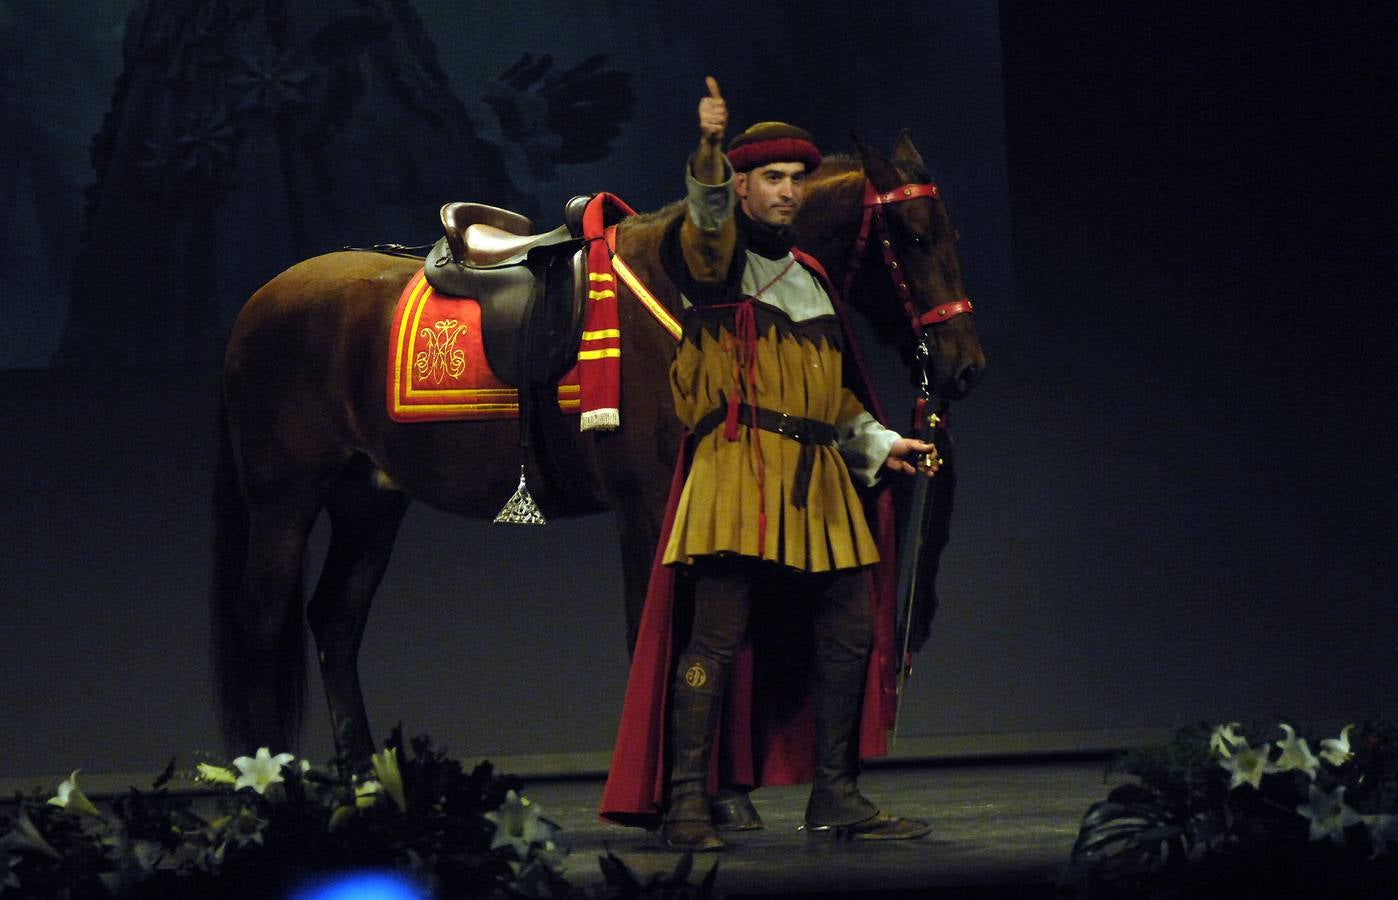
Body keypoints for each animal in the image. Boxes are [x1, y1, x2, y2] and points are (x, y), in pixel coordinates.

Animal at [215, 133, 984, 760]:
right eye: (915, 237)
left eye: (950, 232)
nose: (963, 366)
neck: (695, 288)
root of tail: (261, 299)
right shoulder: (645, 503)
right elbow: (655, 634)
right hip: (284, 502)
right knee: (260, 628)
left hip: (368, 501)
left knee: (334, 624)